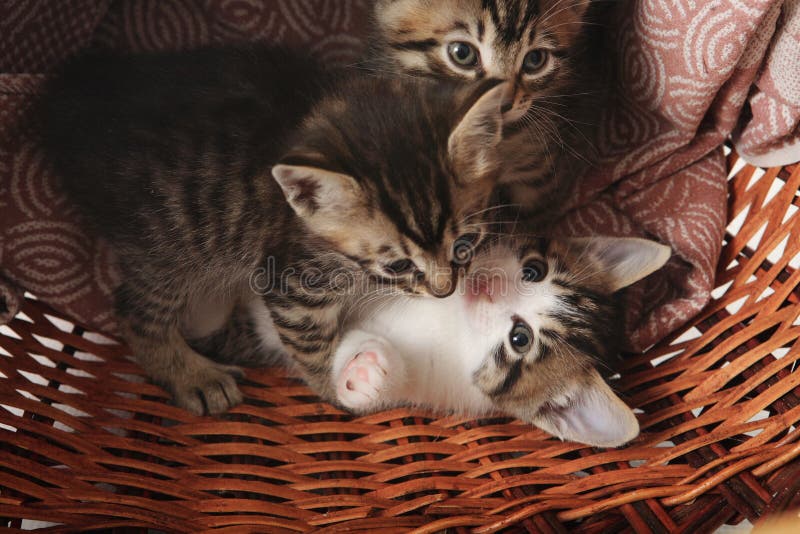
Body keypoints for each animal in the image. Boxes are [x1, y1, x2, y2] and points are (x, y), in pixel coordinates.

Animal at [40, 47, 506, 414]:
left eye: (465, 244)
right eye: (396, 265)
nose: (445, 291)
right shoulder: (292, 282)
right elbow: (310, 347)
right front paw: (335, 390)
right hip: (170, 241)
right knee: (134, 310)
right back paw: (192, 376)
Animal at [328, 237, 672, 450]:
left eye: (520, 338)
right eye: (533, 270)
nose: (489, 287)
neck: (453, 327)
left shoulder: (426, 384)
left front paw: (366, 374)